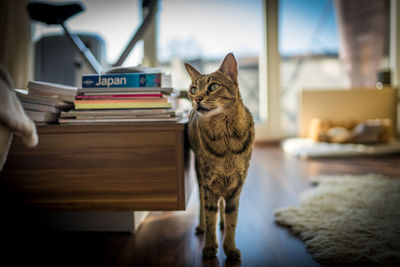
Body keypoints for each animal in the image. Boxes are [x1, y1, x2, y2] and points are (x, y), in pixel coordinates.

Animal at [185, 53, 255, 260]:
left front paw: (230, 248)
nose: (197, 98)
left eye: (214, 86)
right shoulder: (209, 182)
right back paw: (201, 226)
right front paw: (209, 247)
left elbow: (232, 219)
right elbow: (210, 216)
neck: (226, 138)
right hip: (200, 176)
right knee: (202, 203)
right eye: (193, 89)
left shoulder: (237, 184)